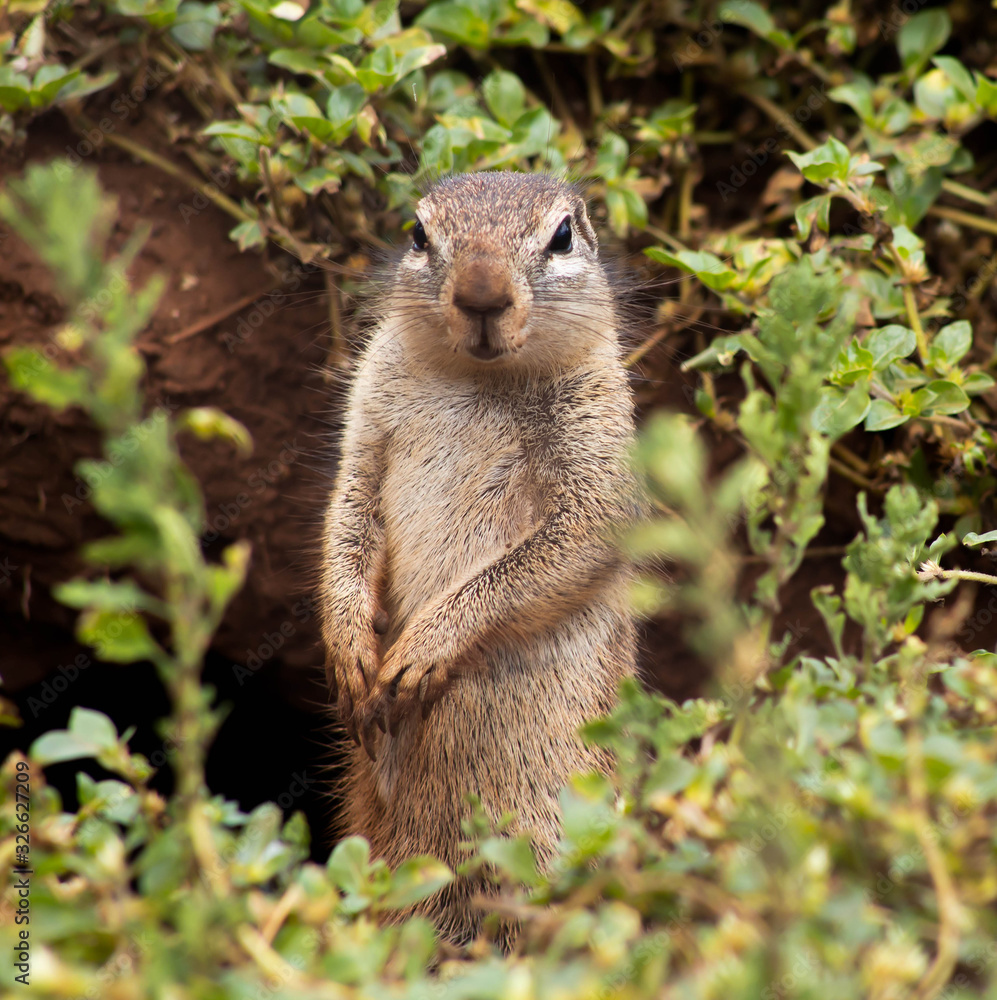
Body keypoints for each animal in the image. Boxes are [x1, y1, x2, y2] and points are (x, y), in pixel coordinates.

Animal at [319, 171, 639, 943]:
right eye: (416, 232)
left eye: (562, 236)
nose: (482, 295)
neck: (478, 379)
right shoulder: (366, 422)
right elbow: (347, 518)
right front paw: (349, 645)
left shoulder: (599, 450)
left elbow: (554, 553)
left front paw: (423, 651)